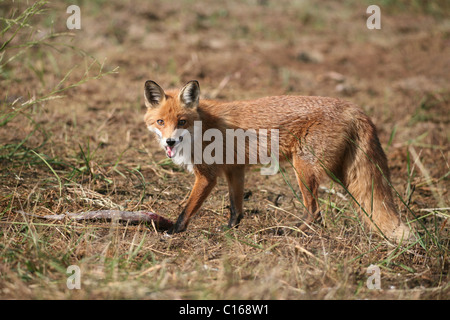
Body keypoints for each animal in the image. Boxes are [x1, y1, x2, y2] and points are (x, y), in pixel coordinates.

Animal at [143, 80, 412, 242]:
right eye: (160, 122)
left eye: (182, 121)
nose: (170, 142)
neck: (202, 126)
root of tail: (354, 107)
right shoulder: (234, 169)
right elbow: (236, 207)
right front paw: (231, 229)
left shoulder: (207, 176)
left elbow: (187, 209)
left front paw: (173, 231)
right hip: (339, 173)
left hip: (304, 169)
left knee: (315, 212)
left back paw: (290, 233)